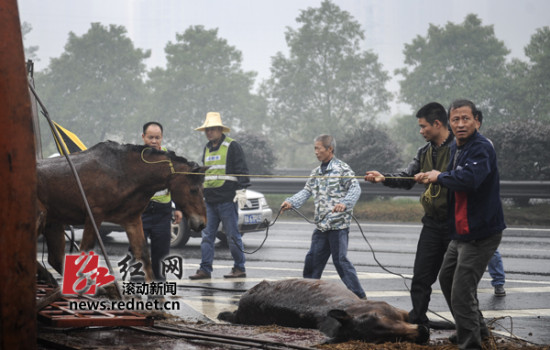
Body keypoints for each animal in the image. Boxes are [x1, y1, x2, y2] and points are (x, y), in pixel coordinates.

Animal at [36, 140, 208, 290]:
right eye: (193, 190)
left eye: (201, 189)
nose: (202, 223)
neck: (123, 172)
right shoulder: (94, 215)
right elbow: (85, 250)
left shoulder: (132, 220)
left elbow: (143, 254)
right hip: (41, 218)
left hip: (53, 223)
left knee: (55, 259)